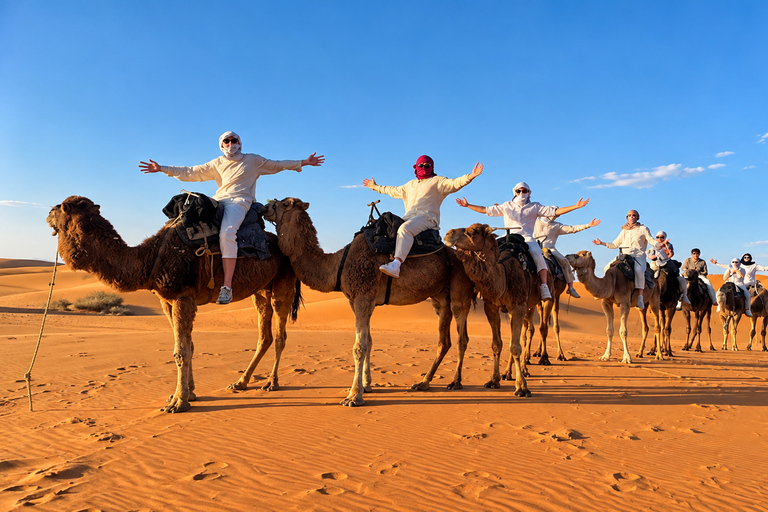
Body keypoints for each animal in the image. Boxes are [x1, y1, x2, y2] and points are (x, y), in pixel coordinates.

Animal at [47, 196, 300, 413]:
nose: (48, 212)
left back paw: (272, 383)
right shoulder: (166, 301)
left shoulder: (183, 298)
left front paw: (178, 403)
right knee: (264, 335)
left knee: (280, 334)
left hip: (283, 282)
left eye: (61, 207)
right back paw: (240, 382)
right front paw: (188, 394)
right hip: (261, 290)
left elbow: (181, 350)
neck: (149, 259)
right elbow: (188, 346)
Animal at [262, 198, 476, 407]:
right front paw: (366, 385)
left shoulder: (363, 297)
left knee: (462, 336)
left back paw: (455, 382)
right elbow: (369, 341)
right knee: (444, 339)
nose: (265, 207)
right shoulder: (358, 300)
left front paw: (353, 397)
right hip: (440, 298)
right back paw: (423, 383)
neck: (338, 264)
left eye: (285, 203)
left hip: (460, 289)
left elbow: (359, 347)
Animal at [444, 223, 554, 397]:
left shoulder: (518, 305)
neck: (502, 276)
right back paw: (508, 373)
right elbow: (497, 344)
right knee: (524, 333)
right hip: (526, 306)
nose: (449, 234)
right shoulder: (491, 307)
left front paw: (522, 388)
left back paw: (540, 361)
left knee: (541, 328)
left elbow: (515, 346)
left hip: (546, 297)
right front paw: (494, 381)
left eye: (473, 232)